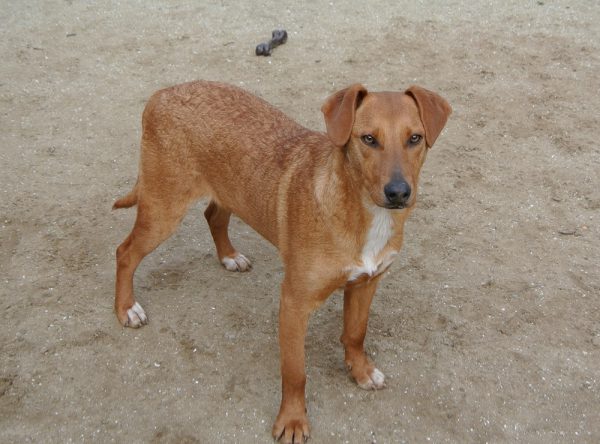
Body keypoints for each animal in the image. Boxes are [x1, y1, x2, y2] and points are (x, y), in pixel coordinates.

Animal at [113, 81, 450, 442]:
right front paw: (292, 421)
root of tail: (164, 92)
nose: (398, 193)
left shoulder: (366, 285)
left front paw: (360, 371)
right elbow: (295, 372)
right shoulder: (293, 303)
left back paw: (229, 256)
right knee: (125, 253)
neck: (359, 210)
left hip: (230, 192)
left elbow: (356, 333)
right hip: (163, 211)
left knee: (213, 216)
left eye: (414, 138)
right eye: (368, 139)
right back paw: (126, 309)